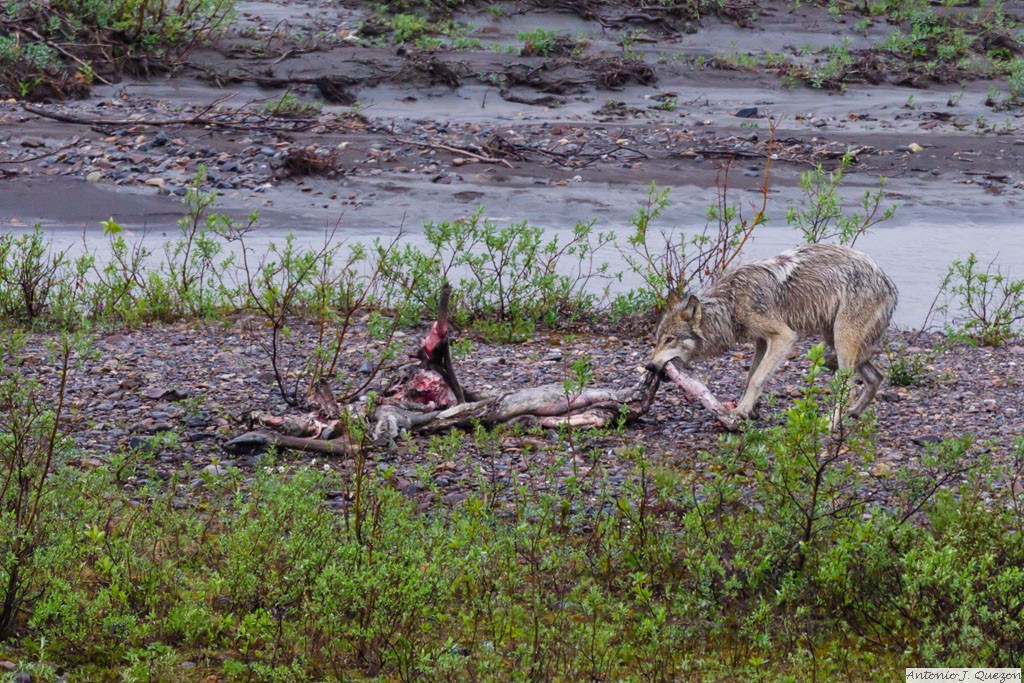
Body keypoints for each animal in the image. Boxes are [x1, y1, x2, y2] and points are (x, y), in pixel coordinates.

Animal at [647, 242, 897, 428]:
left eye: (669, 340)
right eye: (657, 340)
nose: (649, 366)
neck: (732, 302)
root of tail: (889, 284)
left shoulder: (784, 337)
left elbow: (757, 378)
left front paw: (740, 411)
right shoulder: (761, 342)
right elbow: (750, 377)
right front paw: (749, 409)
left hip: (841, 341)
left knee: (849, 389)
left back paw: (830, 423)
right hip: (837, 342)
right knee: (876, 377)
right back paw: (854, 413)